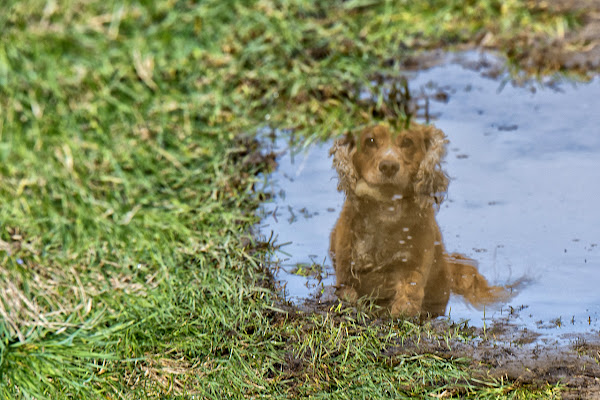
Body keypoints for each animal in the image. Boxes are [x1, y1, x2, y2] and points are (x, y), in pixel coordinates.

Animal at [330, 122, 508, 316]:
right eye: (370, 141)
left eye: (407, 142)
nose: (389, 166)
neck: (387, 212)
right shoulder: (346, 264)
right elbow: (348, 291)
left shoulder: (416, 260)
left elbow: (408, 294)